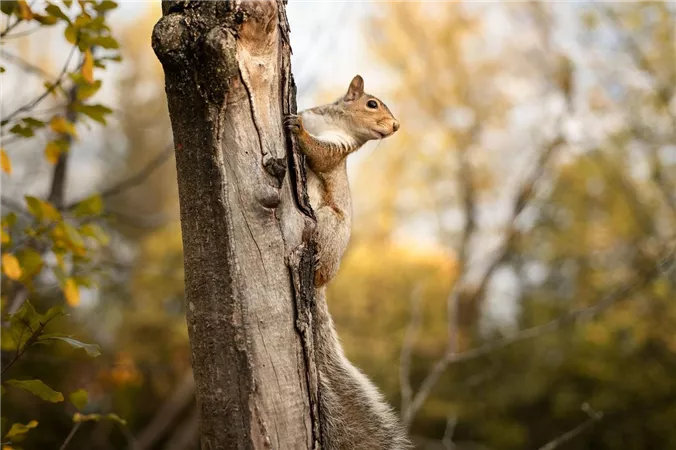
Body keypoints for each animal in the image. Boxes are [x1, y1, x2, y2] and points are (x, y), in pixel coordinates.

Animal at [285, 75, 411, 450]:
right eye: (372, 104)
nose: (395, 126)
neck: (334, 122)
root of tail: (325, 278)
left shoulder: (337, 150)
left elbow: (320, 155)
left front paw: (299, 131)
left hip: (328, 223)